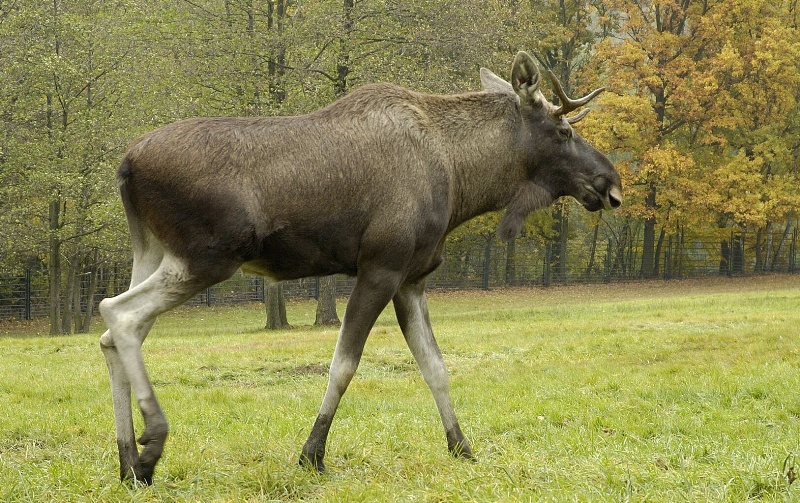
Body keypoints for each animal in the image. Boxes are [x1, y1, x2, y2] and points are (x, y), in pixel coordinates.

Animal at [100, 50, 620, 484]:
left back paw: (128, 463)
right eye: (564, 131)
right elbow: (344, 365)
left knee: (113, 334)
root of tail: (126, 165)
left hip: (152, 252)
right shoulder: (380, 268)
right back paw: (151, 445)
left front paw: (462, 447)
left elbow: (435, 366)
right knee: (117, 314)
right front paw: (312, 453)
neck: (461, 178)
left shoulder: (412, 279)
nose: (610, 182)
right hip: (208, 256)